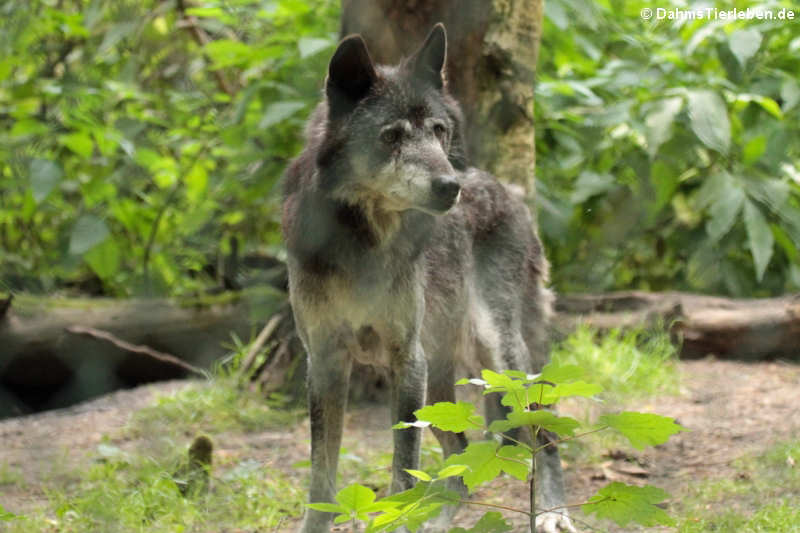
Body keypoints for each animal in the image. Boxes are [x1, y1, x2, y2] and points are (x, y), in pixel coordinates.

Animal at [282, 23, 576, 532]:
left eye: (439, 131)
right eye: (392, 136)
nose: (449, 187)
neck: (362, 244)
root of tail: (508, 191)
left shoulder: (406, 359)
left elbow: (404, 474)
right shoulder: (324, 361)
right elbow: (322, 481)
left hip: (499, 352)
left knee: (544, 435)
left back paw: (553, 512)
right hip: (440, 388)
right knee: (460, 467)